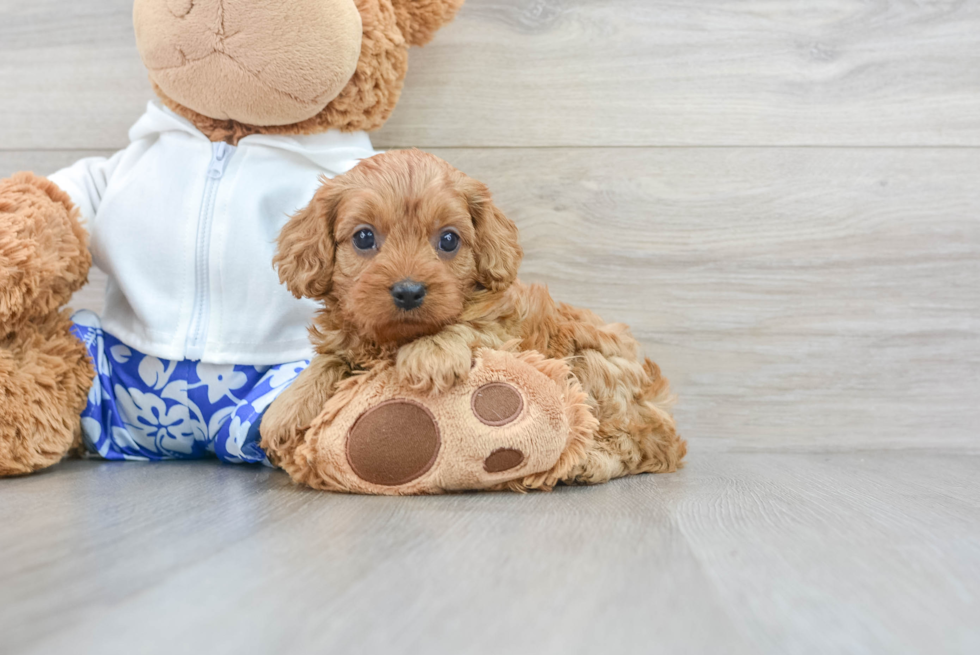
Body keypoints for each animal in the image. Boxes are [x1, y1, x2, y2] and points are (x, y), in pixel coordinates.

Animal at [262, 151, 688, 490]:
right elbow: (327, 360)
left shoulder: (505, 325)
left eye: (449, 240)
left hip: (595, 364)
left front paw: (431, 353)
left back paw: (588, 462)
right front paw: (284, 412)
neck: (394, 339)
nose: (409, 291)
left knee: (640, 444)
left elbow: (467, 326)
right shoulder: (348, 338)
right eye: (364, 238)